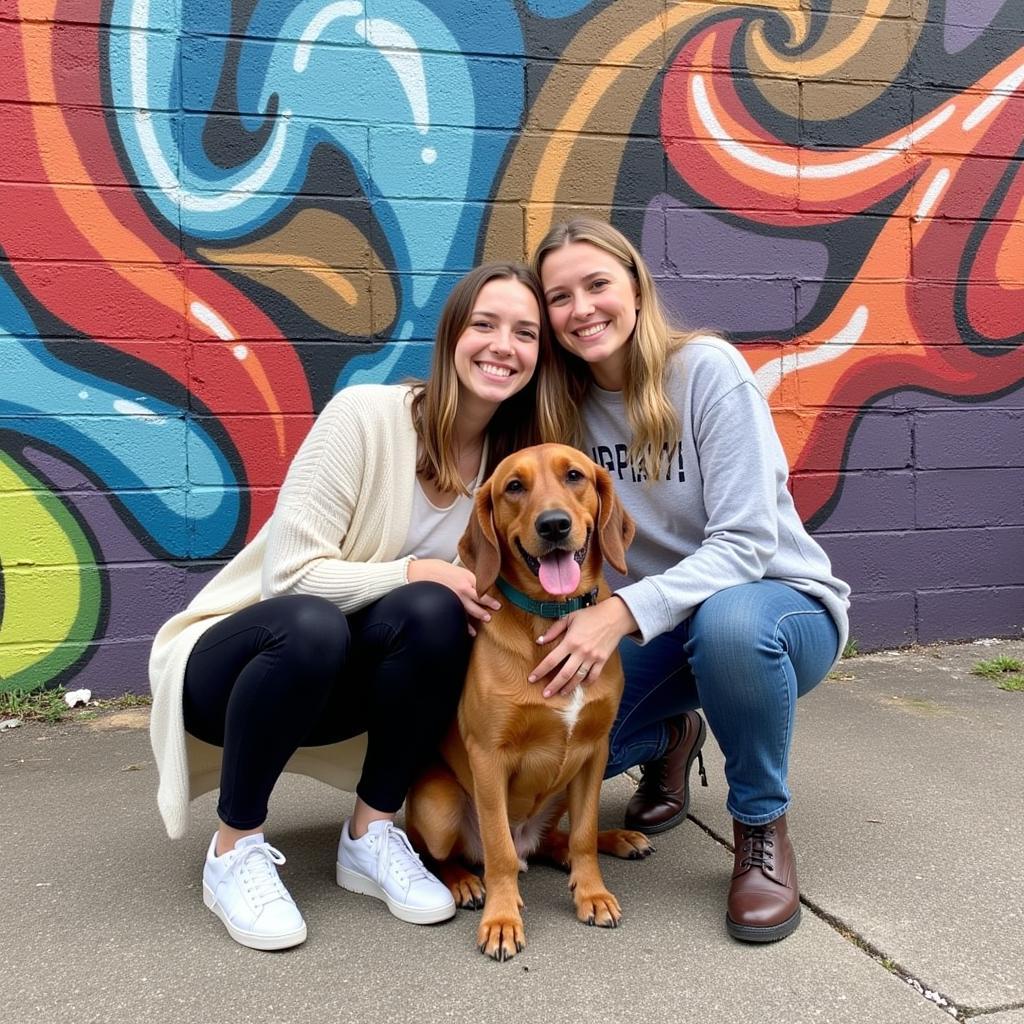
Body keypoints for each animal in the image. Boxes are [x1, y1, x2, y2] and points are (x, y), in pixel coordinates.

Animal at [403, 442, 651, 958]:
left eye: (574, 476)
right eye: (513, 487)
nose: (553, 525)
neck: (551, 615)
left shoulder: (594, 750)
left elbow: (583, 835)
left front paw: (592, 893)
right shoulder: (488, 756)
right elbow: (496, 848)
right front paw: (502, 919)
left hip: (559, 789)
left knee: (557, 840)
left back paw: (615, 839)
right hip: (438, 803)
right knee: (443, 852)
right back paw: (464, 882)